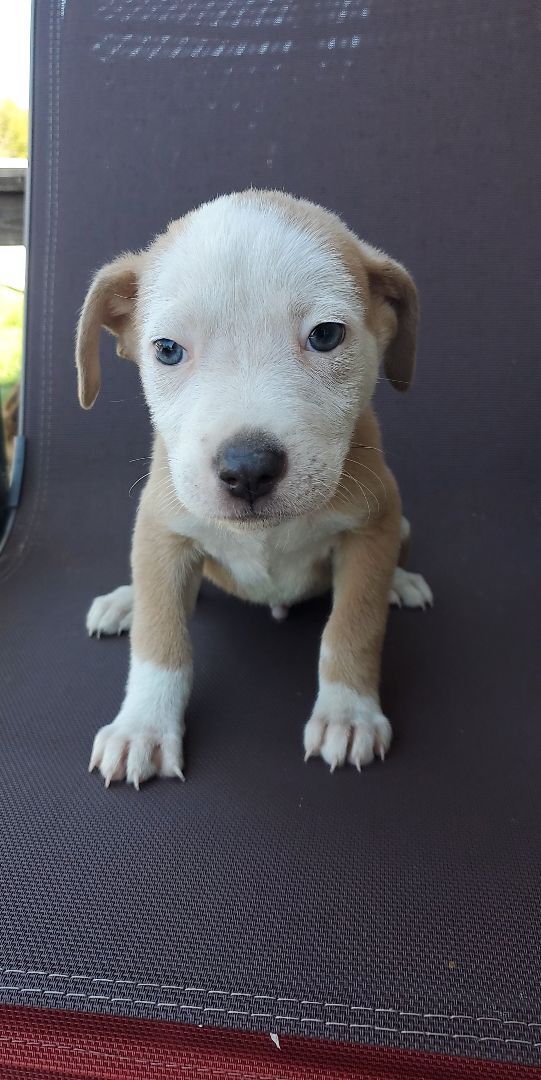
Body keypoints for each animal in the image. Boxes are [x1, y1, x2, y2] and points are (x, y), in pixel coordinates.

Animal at [76, 190, 429, 790]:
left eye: (326, 335)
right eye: (167, 349)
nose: (248, 469)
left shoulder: (372, 527)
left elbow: (353, 625)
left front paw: (348, 713)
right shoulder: (162, 532)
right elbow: (160, 638)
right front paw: (142, 726)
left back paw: (400, 584)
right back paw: (126, 601)